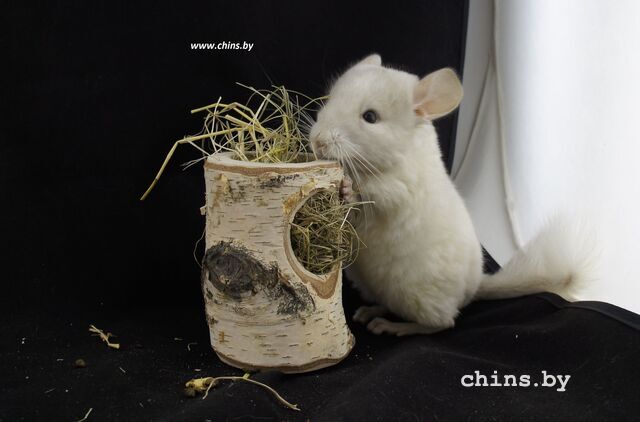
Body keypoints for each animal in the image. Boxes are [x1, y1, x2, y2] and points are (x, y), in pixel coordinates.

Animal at [309, 54, 598, 336]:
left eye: (370, 117)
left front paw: (347, 188)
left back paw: (391, 327)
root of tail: (474, 288)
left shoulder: (398, 193)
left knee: (443, 324)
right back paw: (367, 313)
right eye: (330, 99)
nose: (317, 141)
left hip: (421, 298)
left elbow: (371, 198)